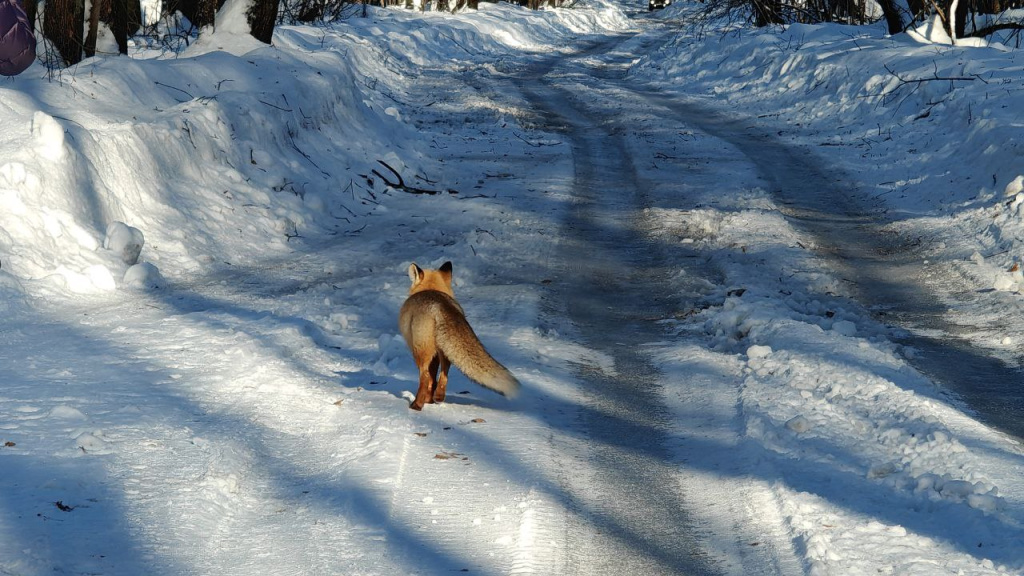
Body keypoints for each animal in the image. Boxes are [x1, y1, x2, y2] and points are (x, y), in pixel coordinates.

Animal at [397, 260, 520, 407]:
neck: (432, 289)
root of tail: (439, 304)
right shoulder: (437, 355)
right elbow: (435, 377)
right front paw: (430, 399)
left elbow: (430, 378)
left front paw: (427, 399)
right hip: (444, 350)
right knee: (444, 373)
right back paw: (438, 397)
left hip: (421, 352)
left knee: (425, 377)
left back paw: (416, 405)